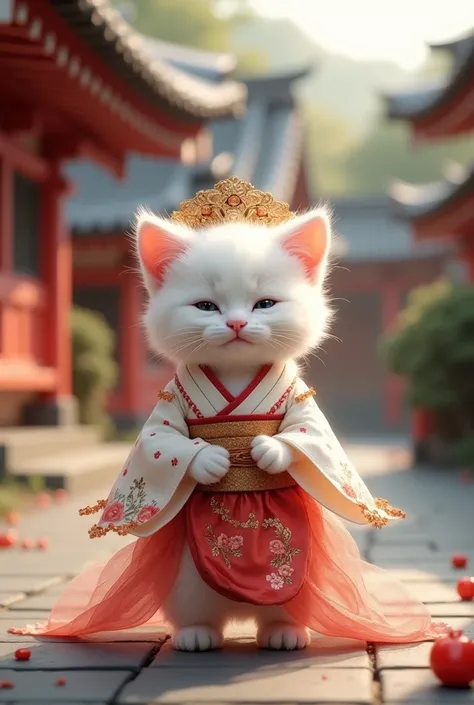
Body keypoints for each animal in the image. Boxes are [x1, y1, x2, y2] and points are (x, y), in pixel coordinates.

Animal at [135, 206, 332, 652]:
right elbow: (161, 441)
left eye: (265, 304)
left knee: (280, 611)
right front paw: (209, 459)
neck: (238, 371)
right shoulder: (167, 405)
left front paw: (269, 450)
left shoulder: (301, 399)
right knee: (196, 611)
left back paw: (284, 633)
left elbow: (308, 433)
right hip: (187, 583)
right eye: (206, 305)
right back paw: (196, 635)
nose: (238, 322)